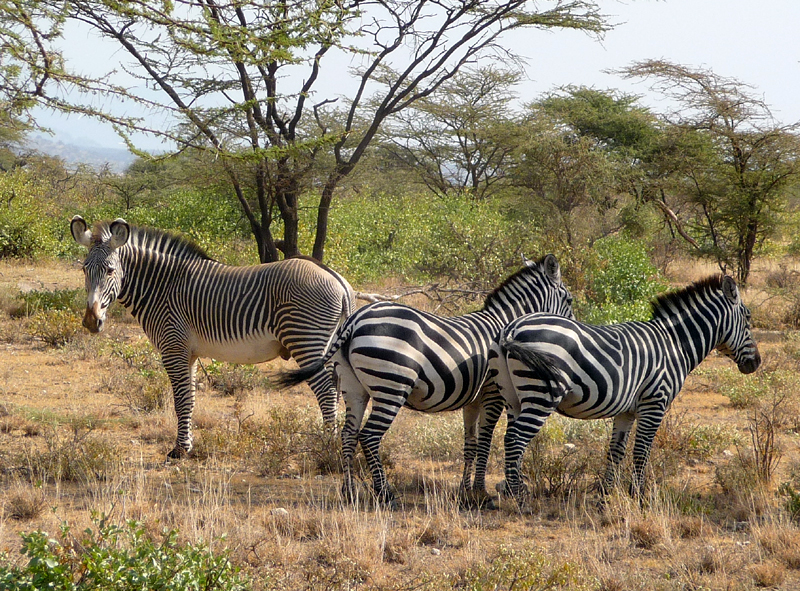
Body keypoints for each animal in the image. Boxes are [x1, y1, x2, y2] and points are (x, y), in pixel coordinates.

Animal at [70, 216, 354, 458]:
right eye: (84, 270)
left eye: (109, 270)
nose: (91, 321)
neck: (162, 287)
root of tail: (338, 281)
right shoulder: (188, 352)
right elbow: (190, 398)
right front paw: (187, 444)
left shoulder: (173, 347)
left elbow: (181, 399)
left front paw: (179, 450)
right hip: (327, 343)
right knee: (339, 388)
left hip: (306, 340)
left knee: (326, 391)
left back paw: (326, 444)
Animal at [276, 254, 576, 508]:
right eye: (570, 300)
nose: (574, 328)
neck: (504, 325)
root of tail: (354, 320)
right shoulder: (493, 393)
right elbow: (485, 442)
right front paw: (481, 492)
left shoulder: (473, 399)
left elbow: (470, 444)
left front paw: (465, 492)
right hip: (391, 385)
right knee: (369, 436)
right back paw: (386, 494)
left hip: (353, 388)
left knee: (349, 434)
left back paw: (348, 492)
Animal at [488, 274, 764, 500]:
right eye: (748, 318)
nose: (756, 363)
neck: (674, 344)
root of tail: (511, 329)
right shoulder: (655, 403)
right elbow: (641, 452)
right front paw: (638, 496)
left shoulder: (626, 411)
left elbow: (616, 451)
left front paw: (606, 494)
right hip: (542, 395)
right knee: (515, 440)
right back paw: (519, 498)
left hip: (513, 397)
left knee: (509, 438)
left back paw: (513, 490)